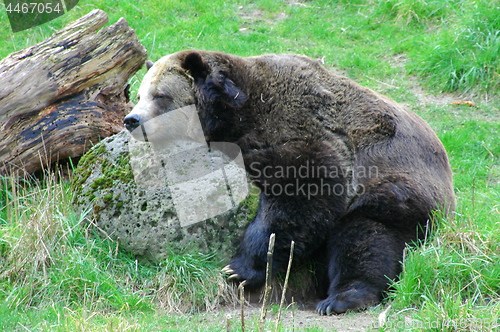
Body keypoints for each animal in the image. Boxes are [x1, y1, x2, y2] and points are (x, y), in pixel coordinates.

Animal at [123, 50, 456, 316]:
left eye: (160, 95)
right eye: (139, 95)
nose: (131, 120)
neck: (239, 114)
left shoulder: (300, 130)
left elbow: (301, 200)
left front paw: (239, 268)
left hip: (398, 188)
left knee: (366, 237)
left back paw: (341, 298)